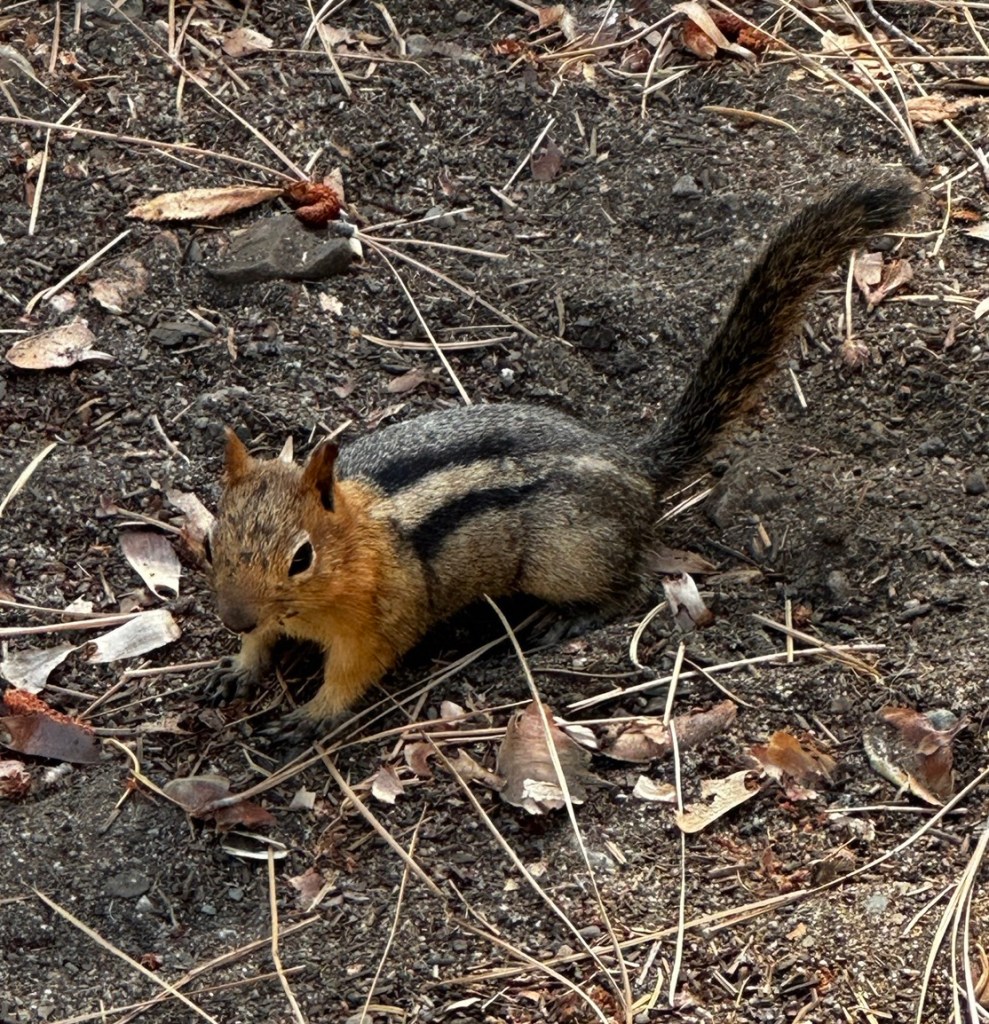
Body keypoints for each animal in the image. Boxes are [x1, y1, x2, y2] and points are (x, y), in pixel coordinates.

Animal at [204, 177, 918, 730]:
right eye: (213, 541)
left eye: (302, 558)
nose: (232, 617)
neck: (355, 545)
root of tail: (634, 464)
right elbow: (264, 642)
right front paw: (238, 665)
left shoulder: (381, 621)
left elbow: (359, 672)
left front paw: (312, 715)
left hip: (566, 558)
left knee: (633, 586)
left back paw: (567, 618)